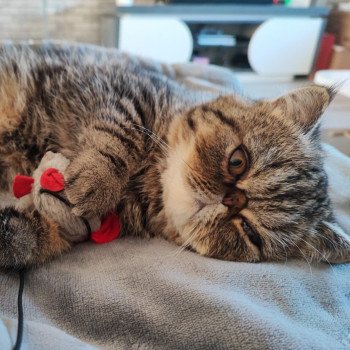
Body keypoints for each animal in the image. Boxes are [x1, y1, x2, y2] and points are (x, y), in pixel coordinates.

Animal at [0, 42, 348, 270]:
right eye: (238, 161)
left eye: (249, 232)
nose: (229, 200)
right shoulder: (121, 91)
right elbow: (124, 134)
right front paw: (98, 180)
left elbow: (33, 237)